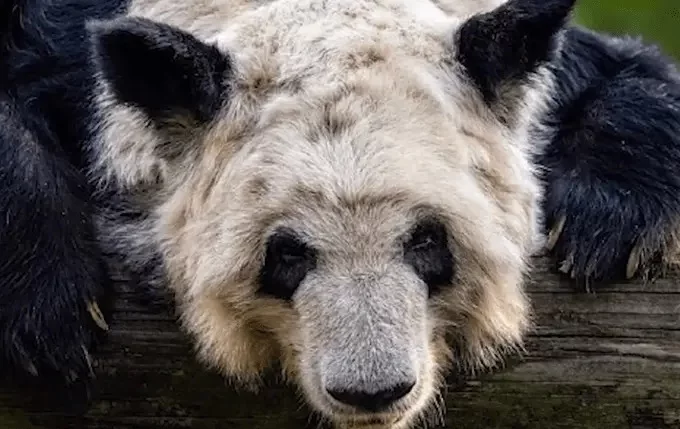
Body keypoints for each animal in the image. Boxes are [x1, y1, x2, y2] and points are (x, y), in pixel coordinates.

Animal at [1, 0, 680, 426]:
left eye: (427, 242)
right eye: (286, 254)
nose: (373, 392)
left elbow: (637, 74)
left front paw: (610, 225)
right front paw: (50, 312)